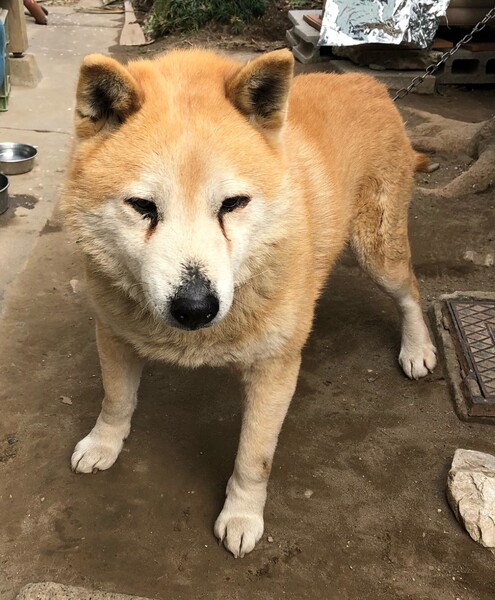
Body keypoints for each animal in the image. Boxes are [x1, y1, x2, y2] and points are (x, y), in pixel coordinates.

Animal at [61, 49, 437, 558]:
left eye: (233, 204)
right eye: (142, 207)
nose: (195, 308)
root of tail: (369, 84)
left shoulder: (273, 370)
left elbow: (254, 458)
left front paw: (241, 515)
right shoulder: (113, 330)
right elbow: (116, 399)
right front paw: (104, 444)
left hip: (378, 254)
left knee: (411, 293)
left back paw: (417, 349)